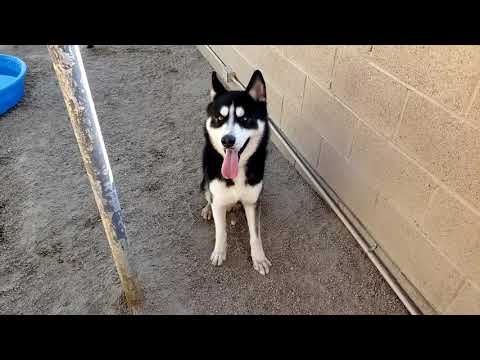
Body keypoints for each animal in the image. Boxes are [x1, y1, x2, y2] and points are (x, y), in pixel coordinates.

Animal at [201, 70, 272, 276]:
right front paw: (219, 252)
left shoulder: (252, 202)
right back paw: (207, 209)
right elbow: (221, 231)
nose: (227, 140)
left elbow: (255, 235)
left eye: (245, 119)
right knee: (207, 193)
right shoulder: (218, 200)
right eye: (219, 118)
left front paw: (259, 258)